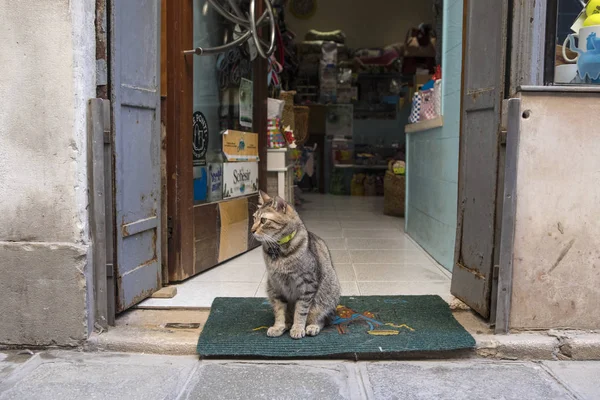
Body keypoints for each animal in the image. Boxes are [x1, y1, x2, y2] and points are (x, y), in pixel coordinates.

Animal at [251, 191, 340, 338]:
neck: (279, 251)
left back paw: (312, 326)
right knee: (288, 316)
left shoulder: (307, 285)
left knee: (321, 318)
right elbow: (279, 311)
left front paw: (298, 328)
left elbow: (301, 311)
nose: (252, 230)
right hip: (269, 288)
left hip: (325, 296)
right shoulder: (276, 286)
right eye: (253, 218)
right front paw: (278, 327)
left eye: (263, 220)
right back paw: (287, 324)